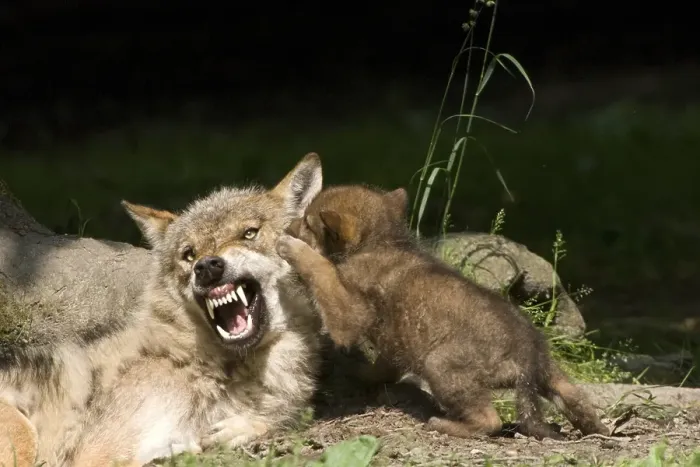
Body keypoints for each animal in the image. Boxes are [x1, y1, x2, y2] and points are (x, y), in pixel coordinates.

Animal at [0, 153, 324, 466]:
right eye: (188, 254)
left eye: (249, 233)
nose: (206, 267)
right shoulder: (94, 456)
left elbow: (263, 423)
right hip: (25, 435)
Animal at [276, 183, 610, 440]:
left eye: (307, 223)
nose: (286, 227)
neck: (383, 242)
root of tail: (528, 353)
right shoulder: (396, 342)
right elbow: (383, 368)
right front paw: (363, 375)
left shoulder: (350, 316)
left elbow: (321, 270)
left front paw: (290, 247)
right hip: (554, 375)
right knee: (577, 399)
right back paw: (600, 431)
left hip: (441, 365)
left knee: (490, 420)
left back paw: (443, 424)